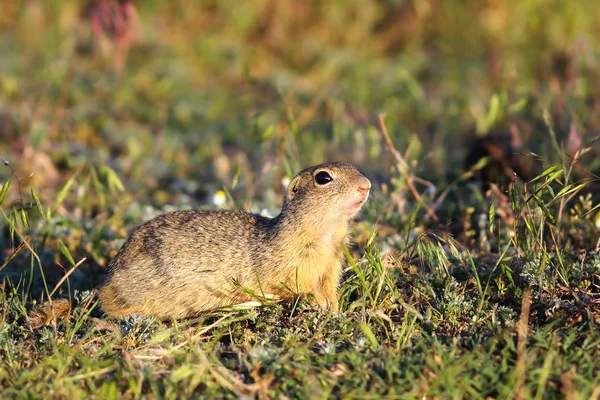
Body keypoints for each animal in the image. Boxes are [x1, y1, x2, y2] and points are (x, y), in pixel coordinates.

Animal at [98, 162, 370, 318]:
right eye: (323, 178)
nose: (366, 185)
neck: (326, 234)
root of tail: (109, 278)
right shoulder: (294, 264)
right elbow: (301, 286)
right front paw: (321, 306)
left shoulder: (332, 264)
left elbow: (329, 287)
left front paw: (335, 308)